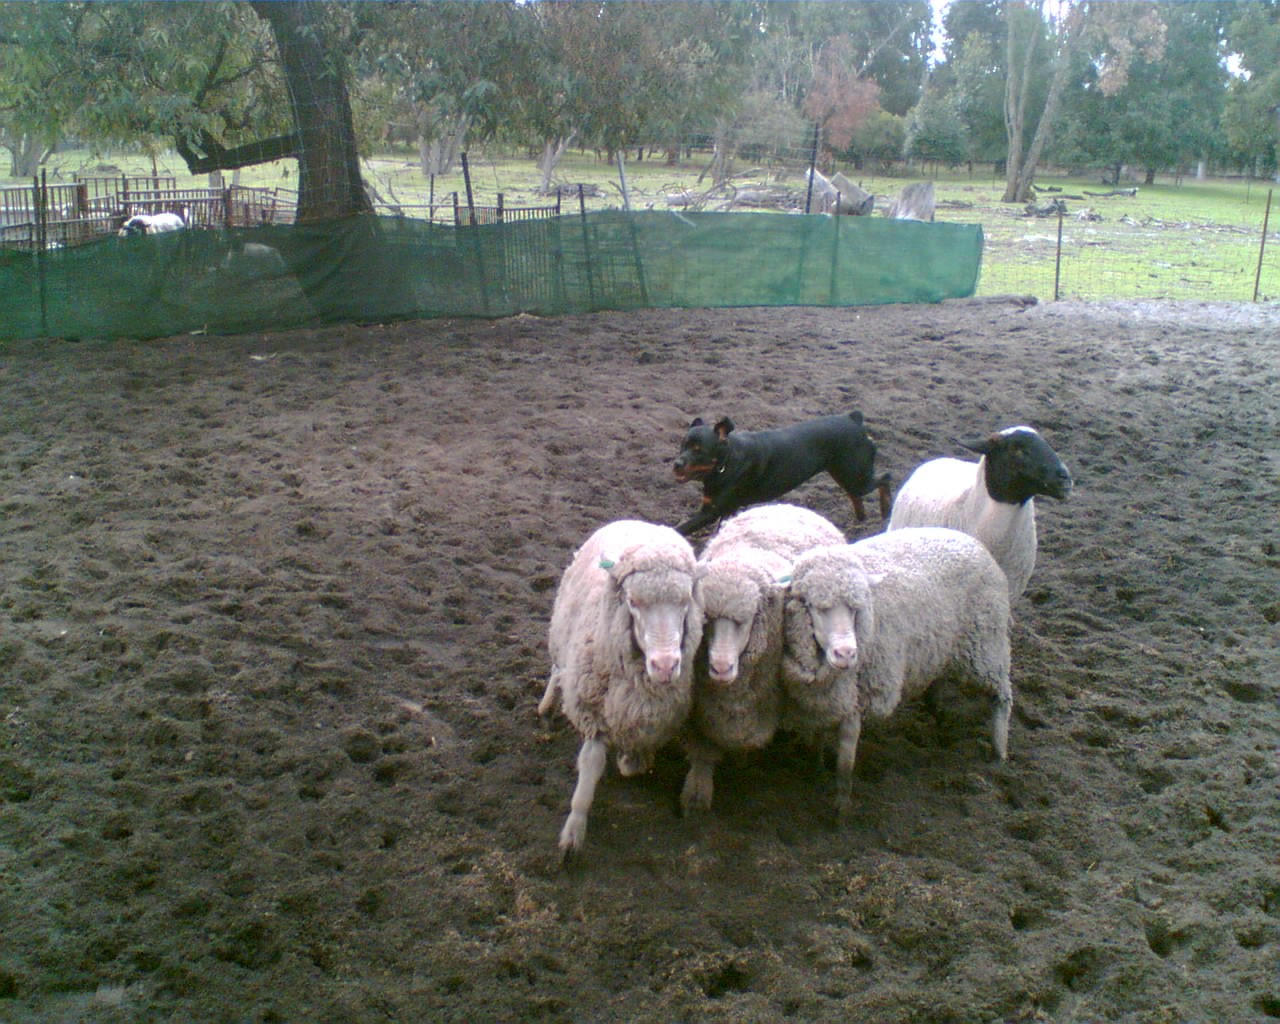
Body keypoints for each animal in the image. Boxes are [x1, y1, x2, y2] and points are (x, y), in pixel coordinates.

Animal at [538, 519, 703, 858]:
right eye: (633, 601)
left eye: (685, 601)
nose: (665, 665)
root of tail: (637, 520)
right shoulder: (592, 713)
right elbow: (590, 766)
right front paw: (573, 834)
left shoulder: (652, 718)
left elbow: (636, 758)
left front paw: (631, 760)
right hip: (562, 637)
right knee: (557, 670)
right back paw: (546, 705)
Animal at [682, 504, 846, 813]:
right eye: (705, 620)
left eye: (745, 620)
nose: (720, 668)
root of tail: (786, 505)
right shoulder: (706, 708)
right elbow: (703, 751)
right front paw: (697, 793)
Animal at [781, 527, 1013, 819]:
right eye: (815, 606)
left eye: (856, 608)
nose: (846, 654)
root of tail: (969, 539)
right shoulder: (828, 697)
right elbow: (820, 734)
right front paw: (816, 766)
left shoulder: (859, 698)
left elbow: (846, 756)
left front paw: (842, 807)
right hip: (943, 644)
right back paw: (938, 713)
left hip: (985, 644)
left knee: (1002, 695)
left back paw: (999, 750)